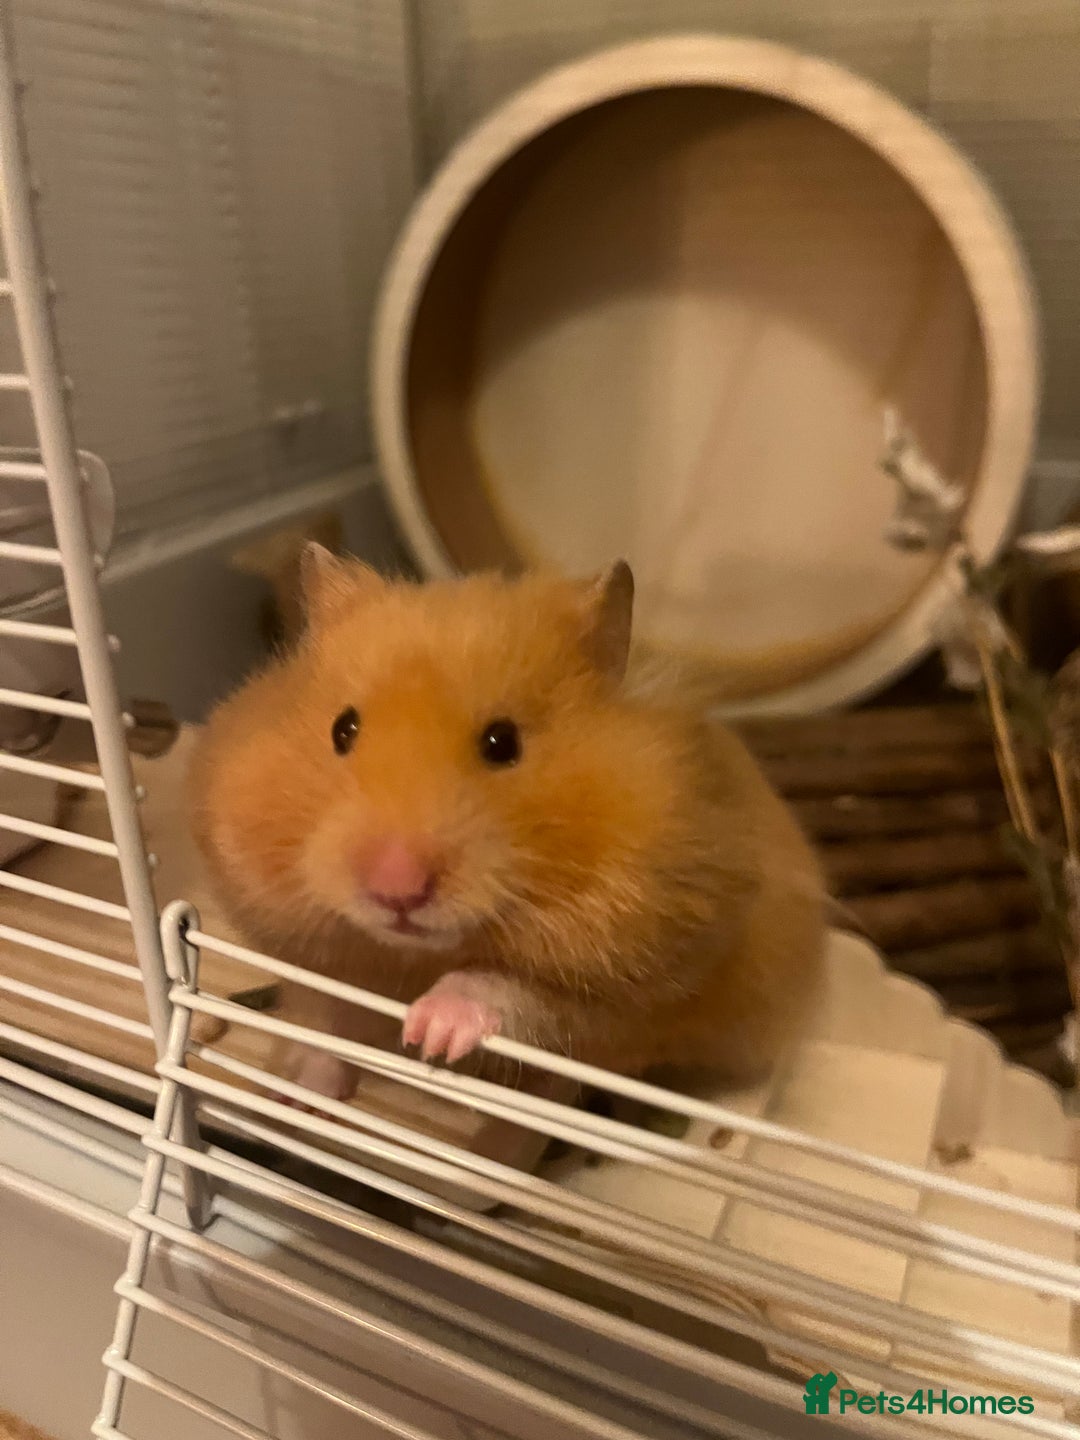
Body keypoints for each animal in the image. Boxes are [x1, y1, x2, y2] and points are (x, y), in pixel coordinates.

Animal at [189, 546, 826, 1101]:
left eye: (504, 743)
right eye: (342, 730)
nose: (396, 891)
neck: (410, 957)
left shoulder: (624, 984)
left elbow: (506, 989)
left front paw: (429, 1034)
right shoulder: (310, 955)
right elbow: (326, 1018)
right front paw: (299, 1091)